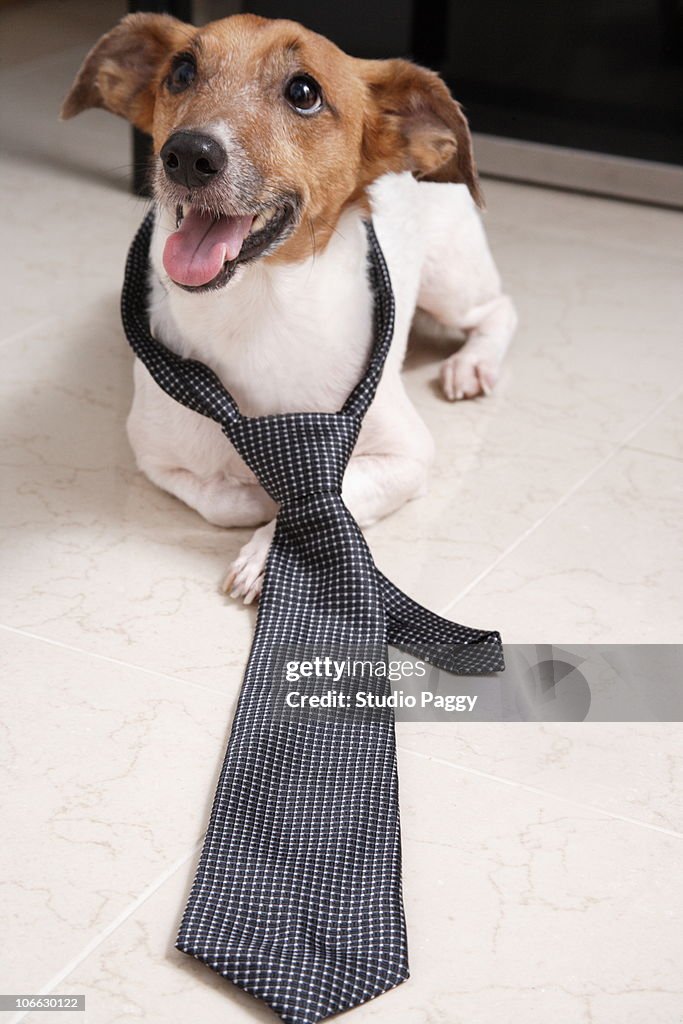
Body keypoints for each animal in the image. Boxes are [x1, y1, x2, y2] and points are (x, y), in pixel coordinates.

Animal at [62, 12, 518, 602]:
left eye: (304, 92)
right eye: (181, 72)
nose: (187, 155)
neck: (257, 313)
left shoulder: (407, 455)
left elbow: (335, 489)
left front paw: (267, 544)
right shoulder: (157, 459)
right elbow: (223, 499)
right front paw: (260, 497)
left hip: (451, 282)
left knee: (498, 309)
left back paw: (472, 363)